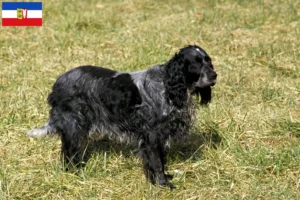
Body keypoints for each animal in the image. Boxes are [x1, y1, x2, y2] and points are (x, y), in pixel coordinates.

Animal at [27, 44, 217, 188]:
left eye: (208, 61)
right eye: (195, 64)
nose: (214, 75)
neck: (167, 86)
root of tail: (57, 84)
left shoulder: (159, 136)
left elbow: (159, 161)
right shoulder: (152, 136)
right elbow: (156, 162)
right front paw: (162, 184)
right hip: (73, 126)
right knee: (68, 155)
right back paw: (74, 174)